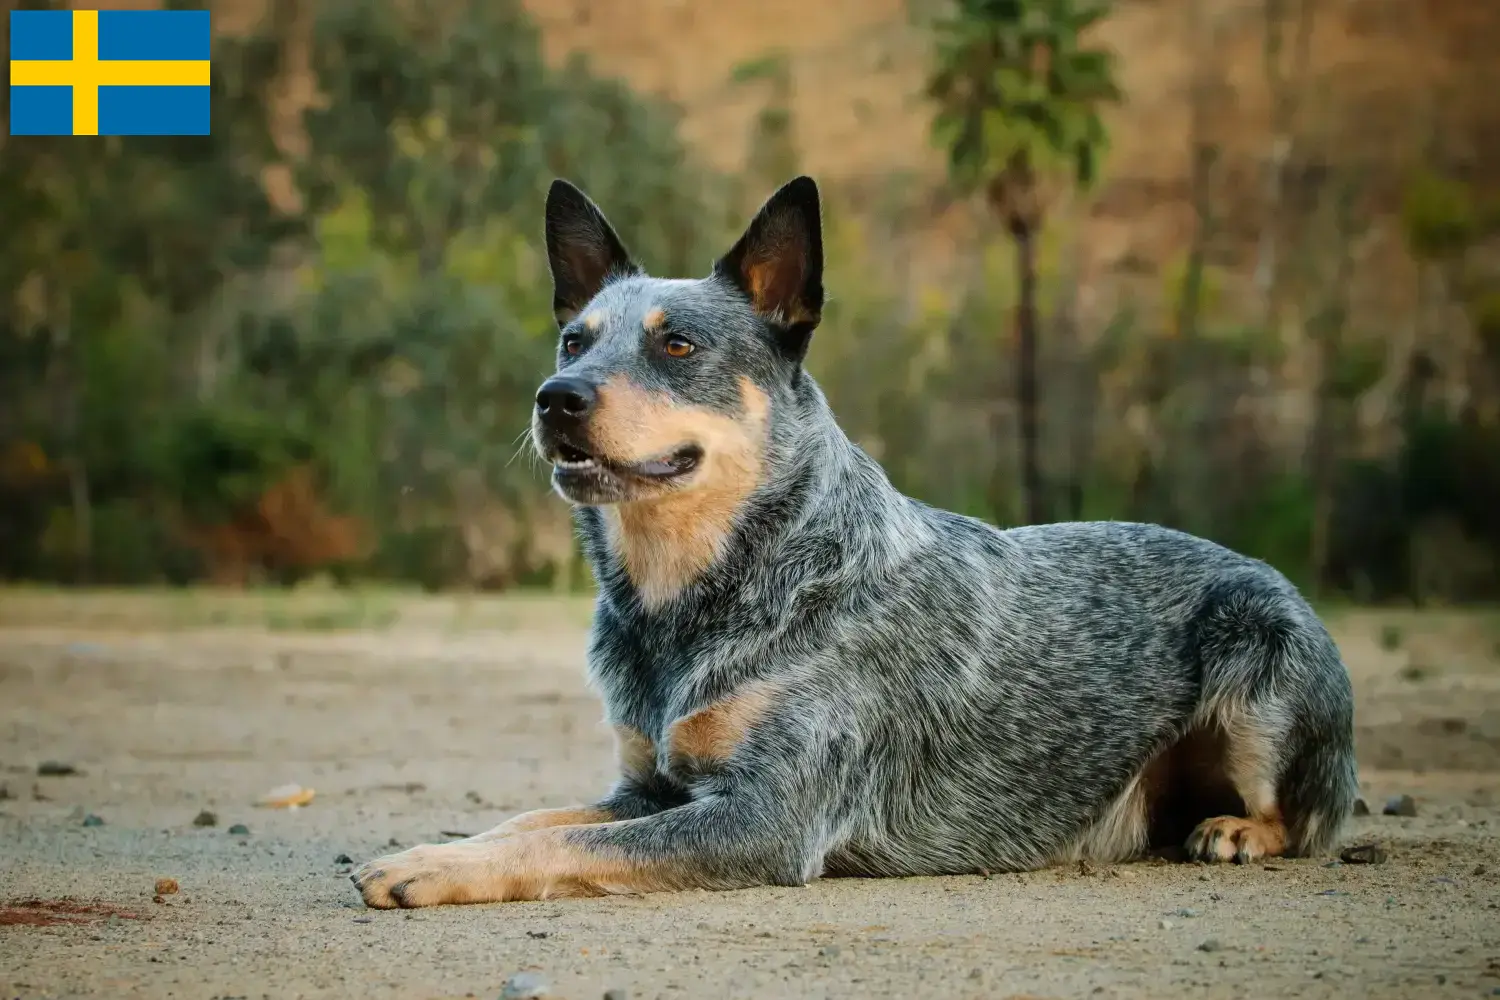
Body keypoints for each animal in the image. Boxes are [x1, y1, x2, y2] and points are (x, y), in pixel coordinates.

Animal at [351, 176, 1362, 911]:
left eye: (677, 347)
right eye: (573, 339)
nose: (555, 398)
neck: (701, 592)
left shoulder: (765, 817)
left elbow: (570, 838)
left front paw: (434, 869)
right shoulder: (651, 786)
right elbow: (530, 817)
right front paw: (437, 844)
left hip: (1259, 650)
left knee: (1310, 816)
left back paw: (1237, 830)